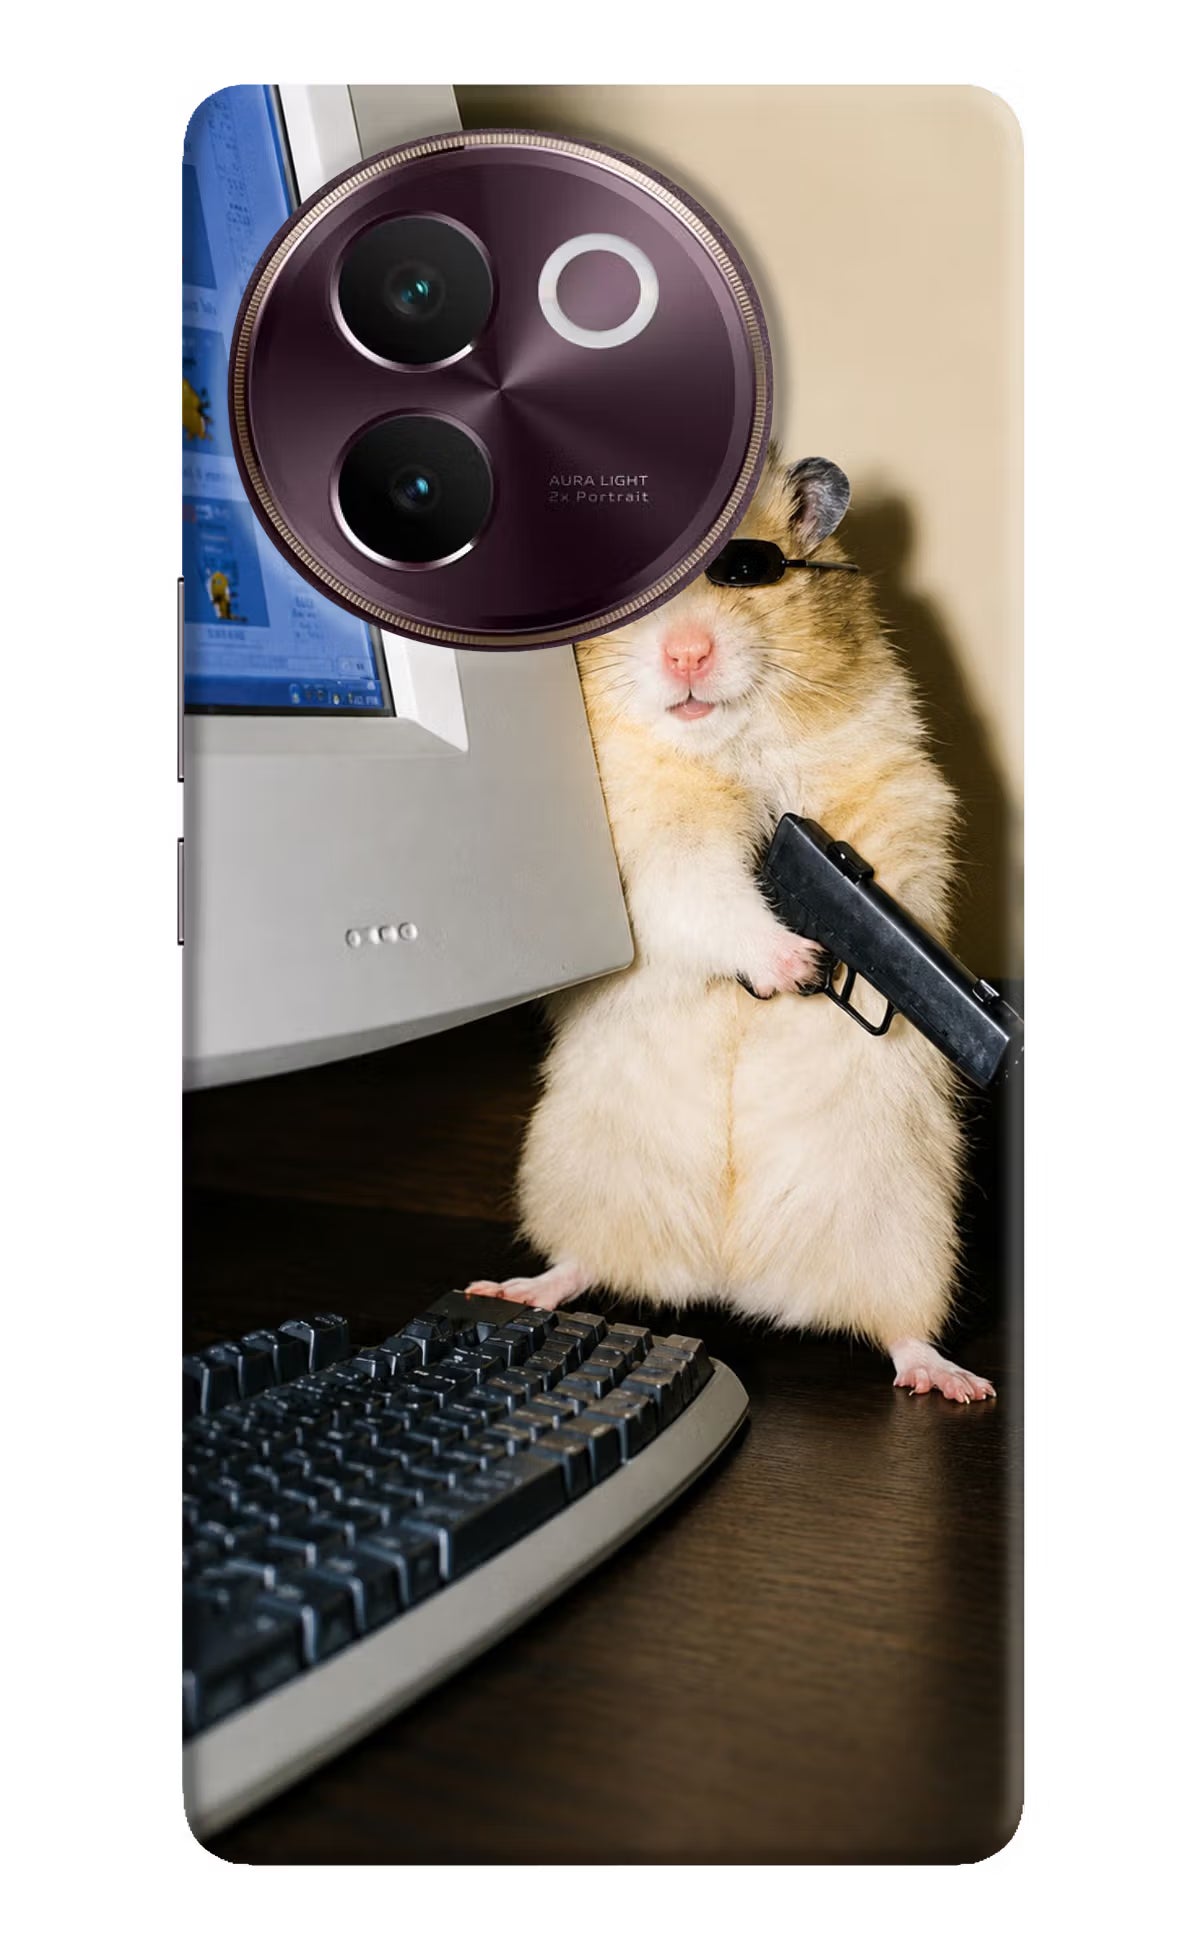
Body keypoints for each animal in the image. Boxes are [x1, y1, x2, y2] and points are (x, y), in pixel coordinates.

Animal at [468, 449, 994, 1402]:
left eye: (744, 570)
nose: (686, 652)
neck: (730, 744)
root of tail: (730, 1276)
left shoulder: (896, 790)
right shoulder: (649, 849)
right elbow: (708, 895)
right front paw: (797, 963)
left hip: (908, 1229)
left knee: (900, 1329)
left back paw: (954, 1381)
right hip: (579, 1176)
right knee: (582, 1263)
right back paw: (514, 1288)